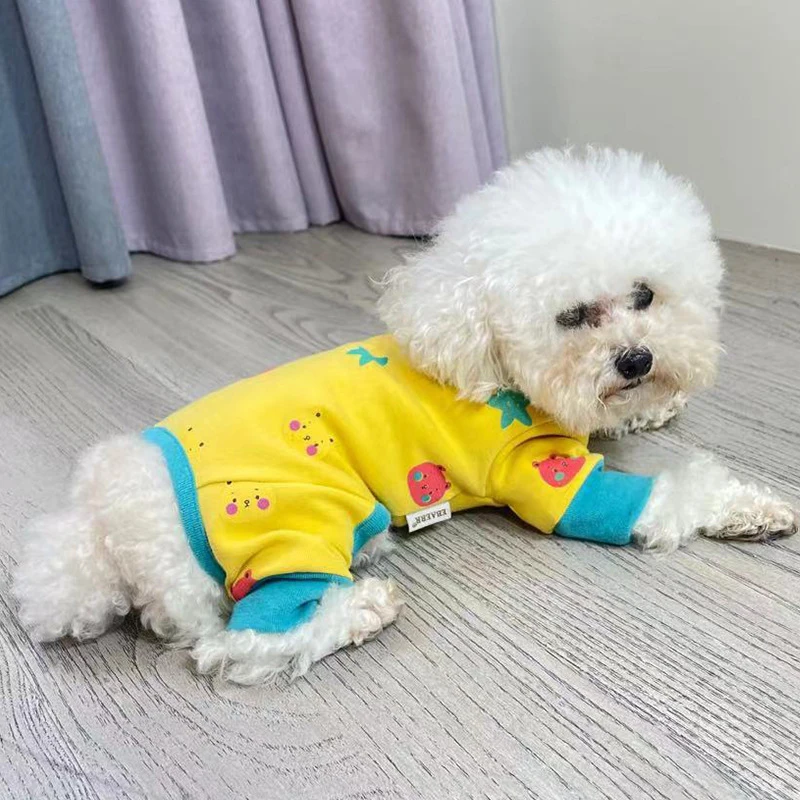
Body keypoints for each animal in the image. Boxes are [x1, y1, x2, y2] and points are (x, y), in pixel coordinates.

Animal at [14, 147, 797, 684]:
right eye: (572, 316)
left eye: (645, 296)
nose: (636, 359)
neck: (490, 358)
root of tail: (115, 522)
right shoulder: (542, 475)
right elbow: (670, 496)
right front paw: (749, 508)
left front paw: (655, 406)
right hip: (293, 518)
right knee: (243, 642)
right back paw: (360, 609)